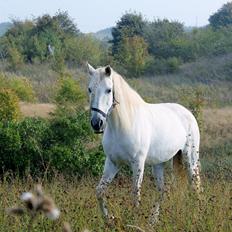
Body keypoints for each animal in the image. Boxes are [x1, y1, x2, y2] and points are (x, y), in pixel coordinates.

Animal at [86, 64, 200, 221]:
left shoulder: (138, 163)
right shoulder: (112, 162)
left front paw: (134, 221)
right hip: (159, 164)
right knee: (161, 191)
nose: (97, 123)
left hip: (190, 158)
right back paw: (153, 221)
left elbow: (135, 195)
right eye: (90, 89)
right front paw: (109, 221)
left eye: (108, 90)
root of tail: (188, 114)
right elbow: (99, 191)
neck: (123, 125)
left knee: (195, 187)